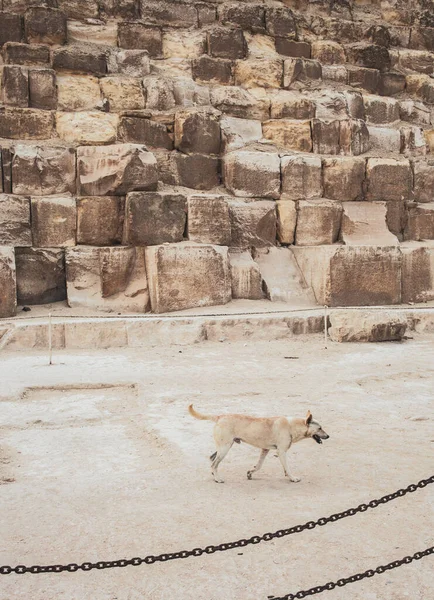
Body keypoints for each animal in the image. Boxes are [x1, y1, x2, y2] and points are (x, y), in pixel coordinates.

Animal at [189, 404, 328, 482]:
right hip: (225, 448)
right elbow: (287, 468)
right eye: (320, 428)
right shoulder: (281, 452)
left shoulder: (265, 450)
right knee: (214, 463)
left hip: (223, 447)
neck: (291, 426)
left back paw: (214, 475)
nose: (328, 436)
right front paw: (292, 478)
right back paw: (218, 479)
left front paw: (250, 473)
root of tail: (220, 416)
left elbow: (259, 465)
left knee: (212, 460)